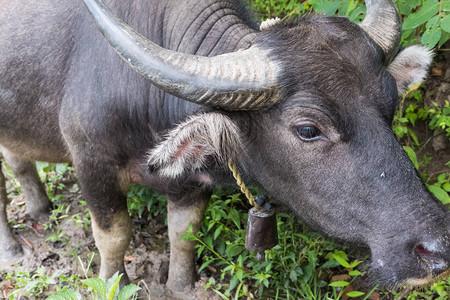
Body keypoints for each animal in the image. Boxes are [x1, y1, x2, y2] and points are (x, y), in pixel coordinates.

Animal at [0, 0, 450, 292]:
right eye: (308, 129)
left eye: (390, 105)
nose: (437, 249)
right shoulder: (92, 164)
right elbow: (114, 235)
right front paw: (115, 282)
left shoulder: (191, 182)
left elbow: (184, 234)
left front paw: (181, 287)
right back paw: (12, 250)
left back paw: (40, 208)